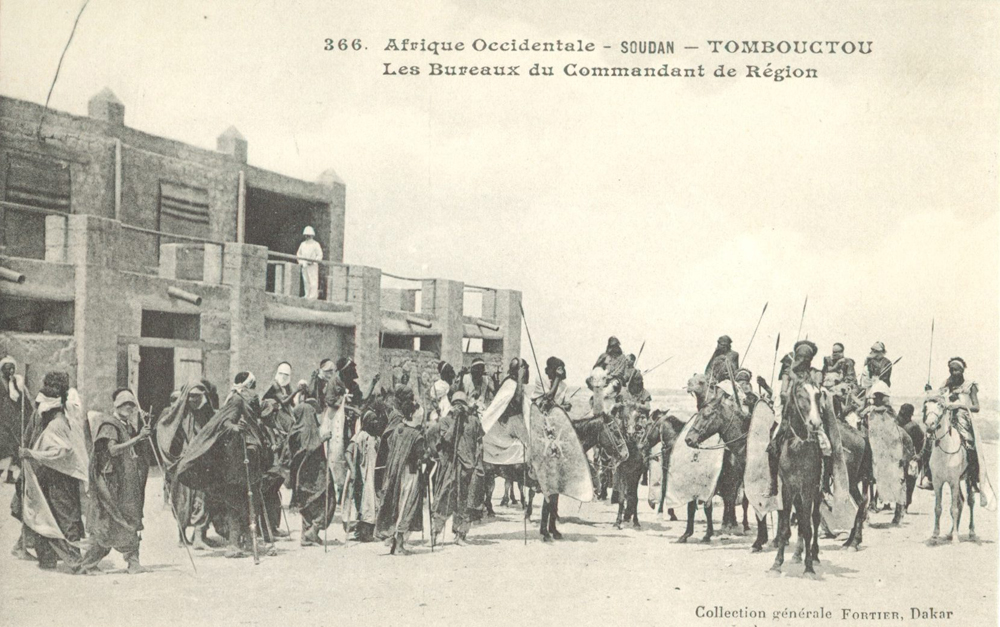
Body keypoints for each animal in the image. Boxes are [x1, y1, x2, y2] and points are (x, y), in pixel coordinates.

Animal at [920, 400, 976, 544]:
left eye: (940, 406)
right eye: (926, 407)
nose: (929, 424)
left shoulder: (953, 482)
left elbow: (954, 509)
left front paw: (956, 538)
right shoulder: (937, 482)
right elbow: (938, 508)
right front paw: (935, 535)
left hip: (968, 479)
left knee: (970, 501)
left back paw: (971, 532)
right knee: (961, 501)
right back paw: (950, 533)